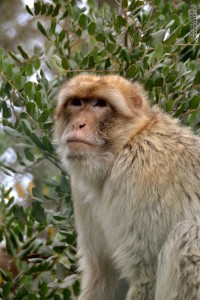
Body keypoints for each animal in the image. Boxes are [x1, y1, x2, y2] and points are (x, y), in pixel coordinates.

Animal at [52, 74, 200, 300]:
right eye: (76, 102)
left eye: (100, 104)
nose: (78, 124)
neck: (125, 145)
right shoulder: (80, 187)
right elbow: (104, 275)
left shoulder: (139, 175)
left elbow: (145, 274)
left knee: (188, 234)